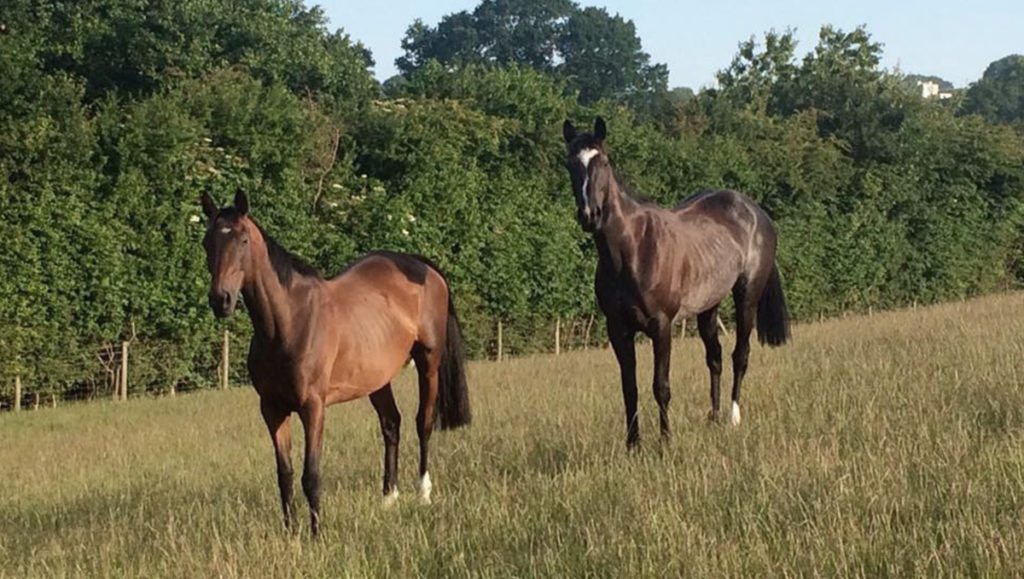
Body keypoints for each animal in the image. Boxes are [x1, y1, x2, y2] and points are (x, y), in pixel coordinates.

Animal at [199, 189, 471, 532]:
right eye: (207, 242)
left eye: (243, 239)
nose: (220, 300)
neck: (290, 321)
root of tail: (421, 265)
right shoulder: (272, 410)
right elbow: (285, 476)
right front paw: (291, 533)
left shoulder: (313, 407)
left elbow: (311, 476)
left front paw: (316, 534)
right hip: (378, 378)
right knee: (391, 425)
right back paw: (388, 499)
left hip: (429, 362)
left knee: (423, 422)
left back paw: (423, 493)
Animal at [561, 119, 790, 448]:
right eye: (570, 164)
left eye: (603, 161)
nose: (590, 215)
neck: (632, 248)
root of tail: (756, 212)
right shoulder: (618, 329)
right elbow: (629, 389)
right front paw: (633, 446)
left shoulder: (661, 326)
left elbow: (661, 386)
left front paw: (665, 443)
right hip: (709, 306)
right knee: (715, 357)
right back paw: (714, 418)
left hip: (747, 297)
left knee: (740, 355)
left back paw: (733, 418)